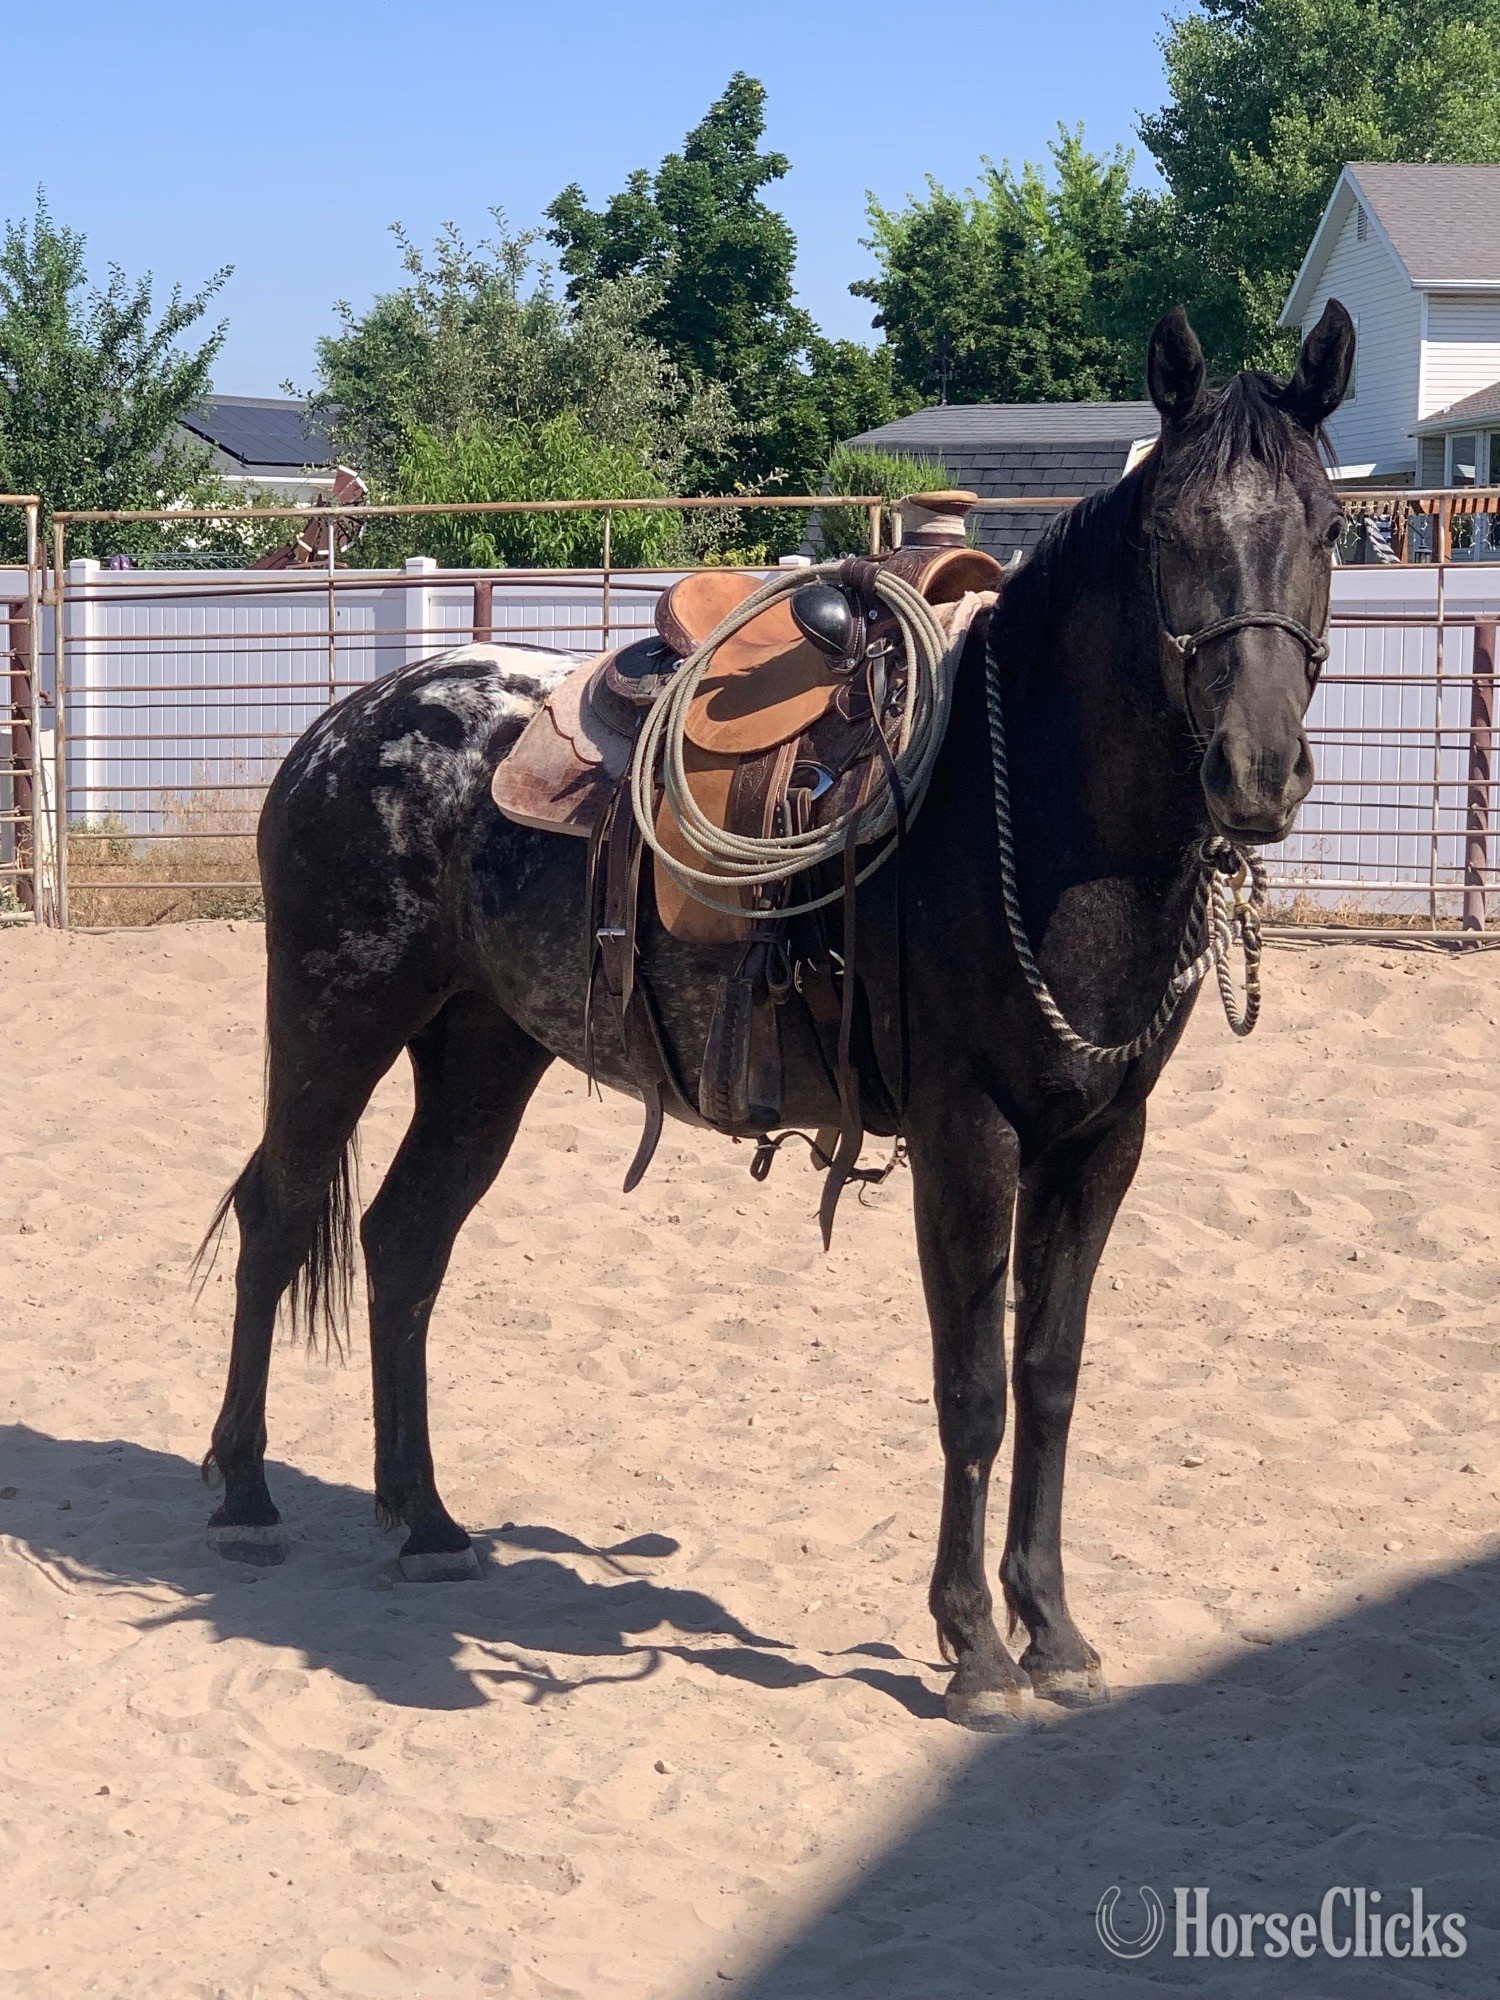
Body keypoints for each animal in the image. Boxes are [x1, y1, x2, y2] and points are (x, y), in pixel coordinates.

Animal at [199, 301, 1354, 1727]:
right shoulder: (969, 1135)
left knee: (404, 1243)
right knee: (277, 1216)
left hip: (482, 1053)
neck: (1033, 815)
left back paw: (423, 1519)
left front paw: (1055, 1629)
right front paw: (973, 1646)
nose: (1258, 771)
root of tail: (339, 728)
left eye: (1327, 525)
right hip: (334, 1025)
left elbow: (1051, 1375)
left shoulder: (1101, 1142)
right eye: (1168, 535)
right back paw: (245, 1494)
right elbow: (972, 1387)